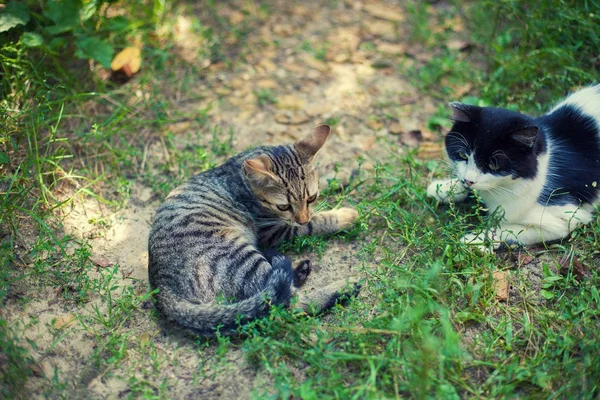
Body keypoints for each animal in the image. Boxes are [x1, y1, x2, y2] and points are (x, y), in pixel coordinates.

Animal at [148, 124, 358, 334]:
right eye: (283, 206)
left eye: (312, 198)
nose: (302, 219)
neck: (245, 182)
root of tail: (162, 290)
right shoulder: (274, 231)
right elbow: (316, 222)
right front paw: (345, 216)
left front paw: (345, 173)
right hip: (240, 255)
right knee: (284, 305)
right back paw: (342, 288)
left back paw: (299, 271)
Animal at [426, 85, 600, 250]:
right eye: (463, 155)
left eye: (493, 164)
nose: (468, 181)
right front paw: (443, 188)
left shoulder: (567, 219)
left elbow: (506, 230)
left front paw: (474, 240)